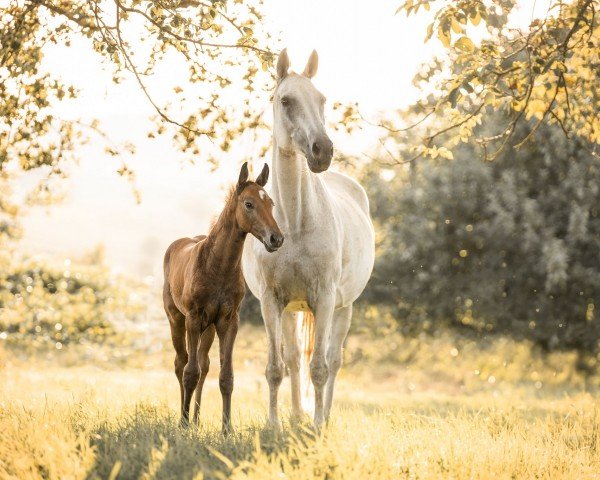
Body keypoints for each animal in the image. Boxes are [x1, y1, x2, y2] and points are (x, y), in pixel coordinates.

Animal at [162, 163, 284, 434]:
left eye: (271, 203)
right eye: (248, 204)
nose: (276, 238)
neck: (217, 266)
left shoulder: (228, 321)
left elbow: (225, 376)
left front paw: (227, 429)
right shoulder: (193, 319)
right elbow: (189, 372)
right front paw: (183, 425)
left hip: (208, 328)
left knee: (204, 364)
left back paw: (196, 419)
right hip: (177, 319)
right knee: (181, 363)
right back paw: (184, 418)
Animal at [241, 47, 372, 426]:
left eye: (322, 99)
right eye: (285, 100)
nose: (322, 151)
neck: (295, 224)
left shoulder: (325, 299)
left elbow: (321, 368)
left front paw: (316, 428)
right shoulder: (271, 301)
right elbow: (276, 367)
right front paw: (274, 425)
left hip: (344, 307)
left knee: (334, 359)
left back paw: (322, 417)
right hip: (291, 309)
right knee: (295, 357)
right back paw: (298, 415)